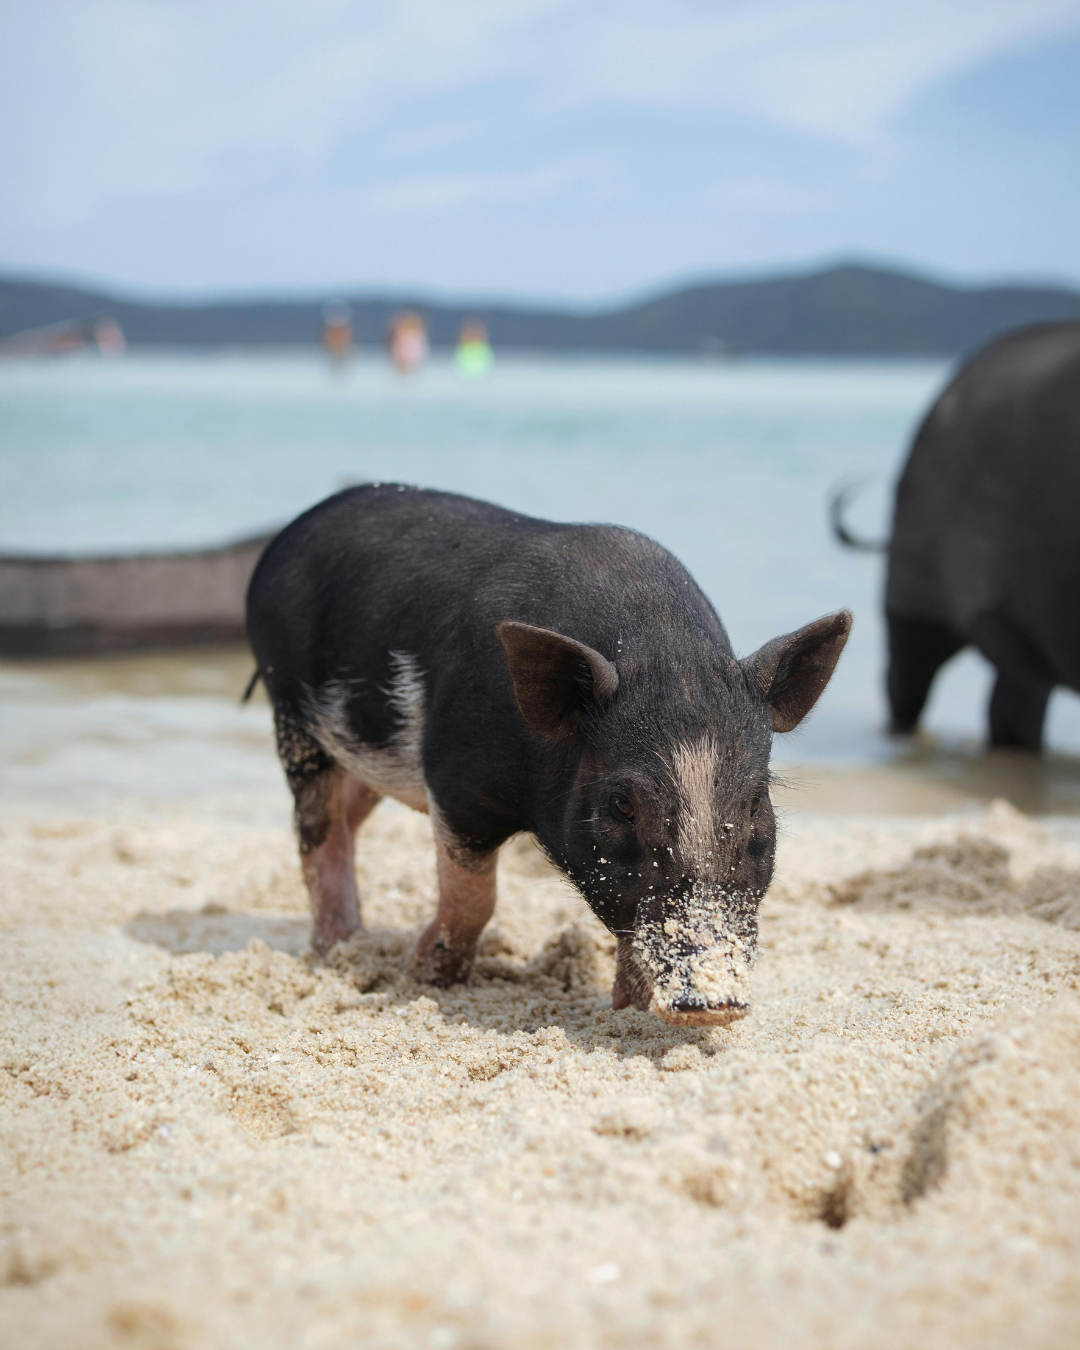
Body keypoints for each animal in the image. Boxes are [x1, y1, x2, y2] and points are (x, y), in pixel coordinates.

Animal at [245, 485, 850, 1026]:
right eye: (621, 804)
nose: (715, 1006)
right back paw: (337, 949)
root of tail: (286, 537)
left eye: (755, 804)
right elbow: (475, 897)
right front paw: (425, 978)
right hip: (292, 716)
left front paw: (628, 1011)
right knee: (316, 833)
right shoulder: (453, 785)